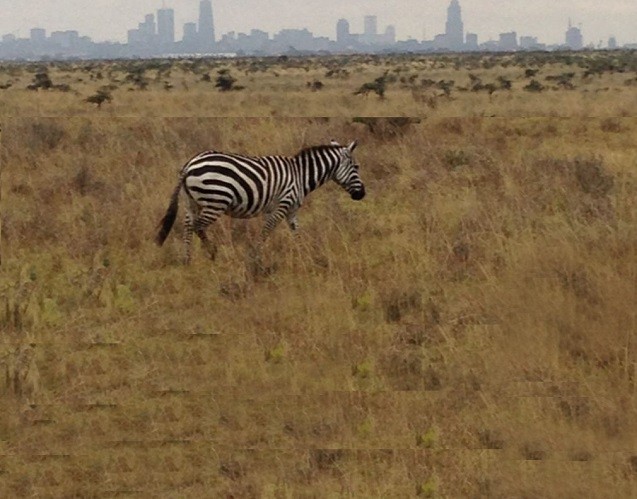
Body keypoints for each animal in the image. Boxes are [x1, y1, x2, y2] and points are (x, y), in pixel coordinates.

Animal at [155, 139, 366, 264]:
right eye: (356, 167)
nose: (362, 194)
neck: (301, 176)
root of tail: (189, 165)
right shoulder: (281, 205)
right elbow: (267, 231)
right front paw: (254, 257)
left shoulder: (291, 210)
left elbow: (296, 233)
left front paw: (304, 255)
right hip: (216, 200)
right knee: (198, 226)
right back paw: (212, 253)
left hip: (192, 202)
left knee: (188, 227)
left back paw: (187, 259)